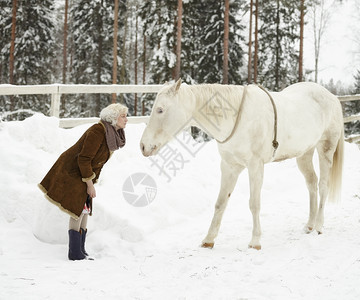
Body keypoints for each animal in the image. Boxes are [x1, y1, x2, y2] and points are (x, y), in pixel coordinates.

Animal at [140, 78, 344, 250]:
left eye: (160, 109)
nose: (143, 146)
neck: (235, 117)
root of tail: (332, 97)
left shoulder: (255, 166)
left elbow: (254, 204)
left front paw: (255, 242)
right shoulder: (229, 166)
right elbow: (220, 203)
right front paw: (208, 240)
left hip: (325, 149)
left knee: (323, 186)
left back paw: (319, 226)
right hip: (304, 154)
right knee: (311, 184)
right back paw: (309, 225)